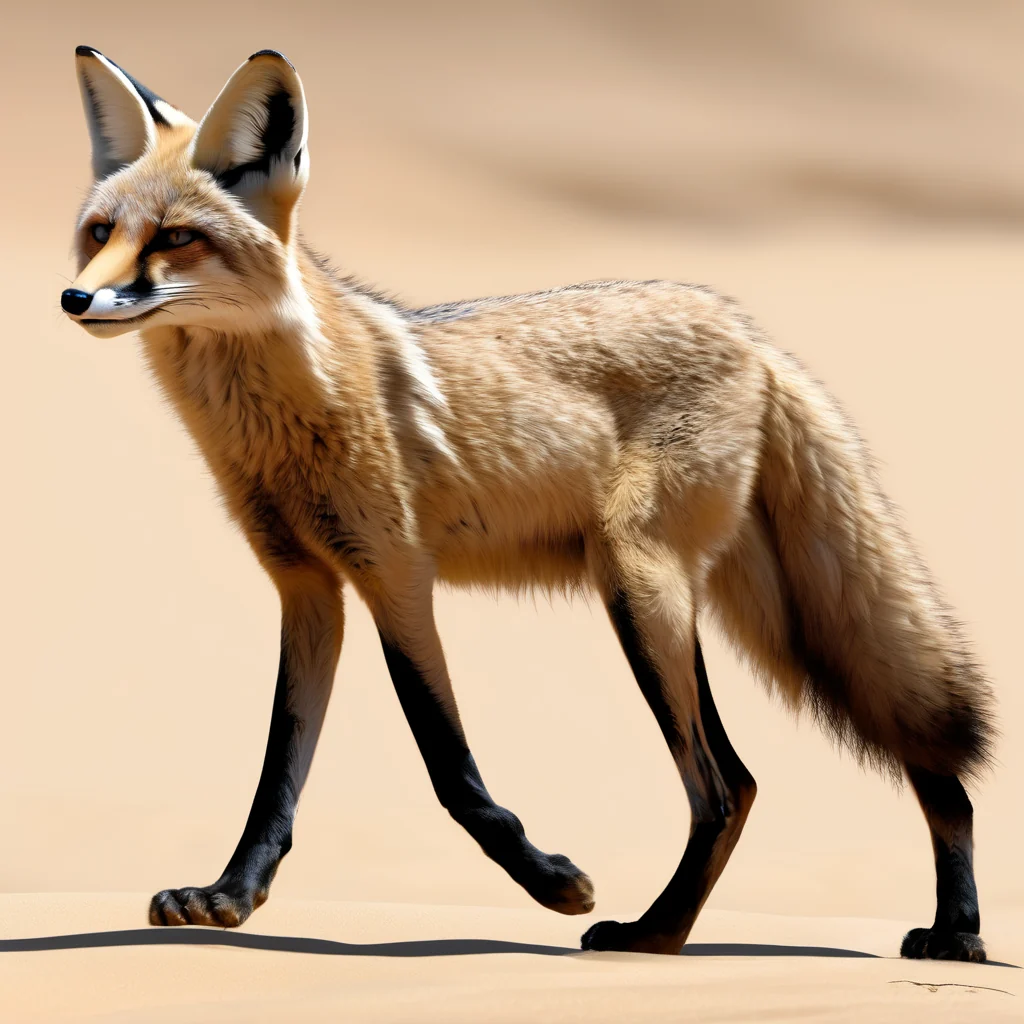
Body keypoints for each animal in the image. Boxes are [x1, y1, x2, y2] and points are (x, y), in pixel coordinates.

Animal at [62, 46, 994, 961]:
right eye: (101, 233)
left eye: (176, 239)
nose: (75, 298)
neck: (287, 416)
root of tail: (746, 329)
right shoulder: (309, 588)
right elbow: (277, 776)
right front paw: (231, 897)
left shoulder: (396, 574)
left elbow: (449, 766)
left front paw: (551, 883)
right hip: (759, 612)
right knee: (872, 763)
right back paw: (934, 929)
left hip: (643, 587)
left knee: (729, 785)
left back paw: (663, 934)